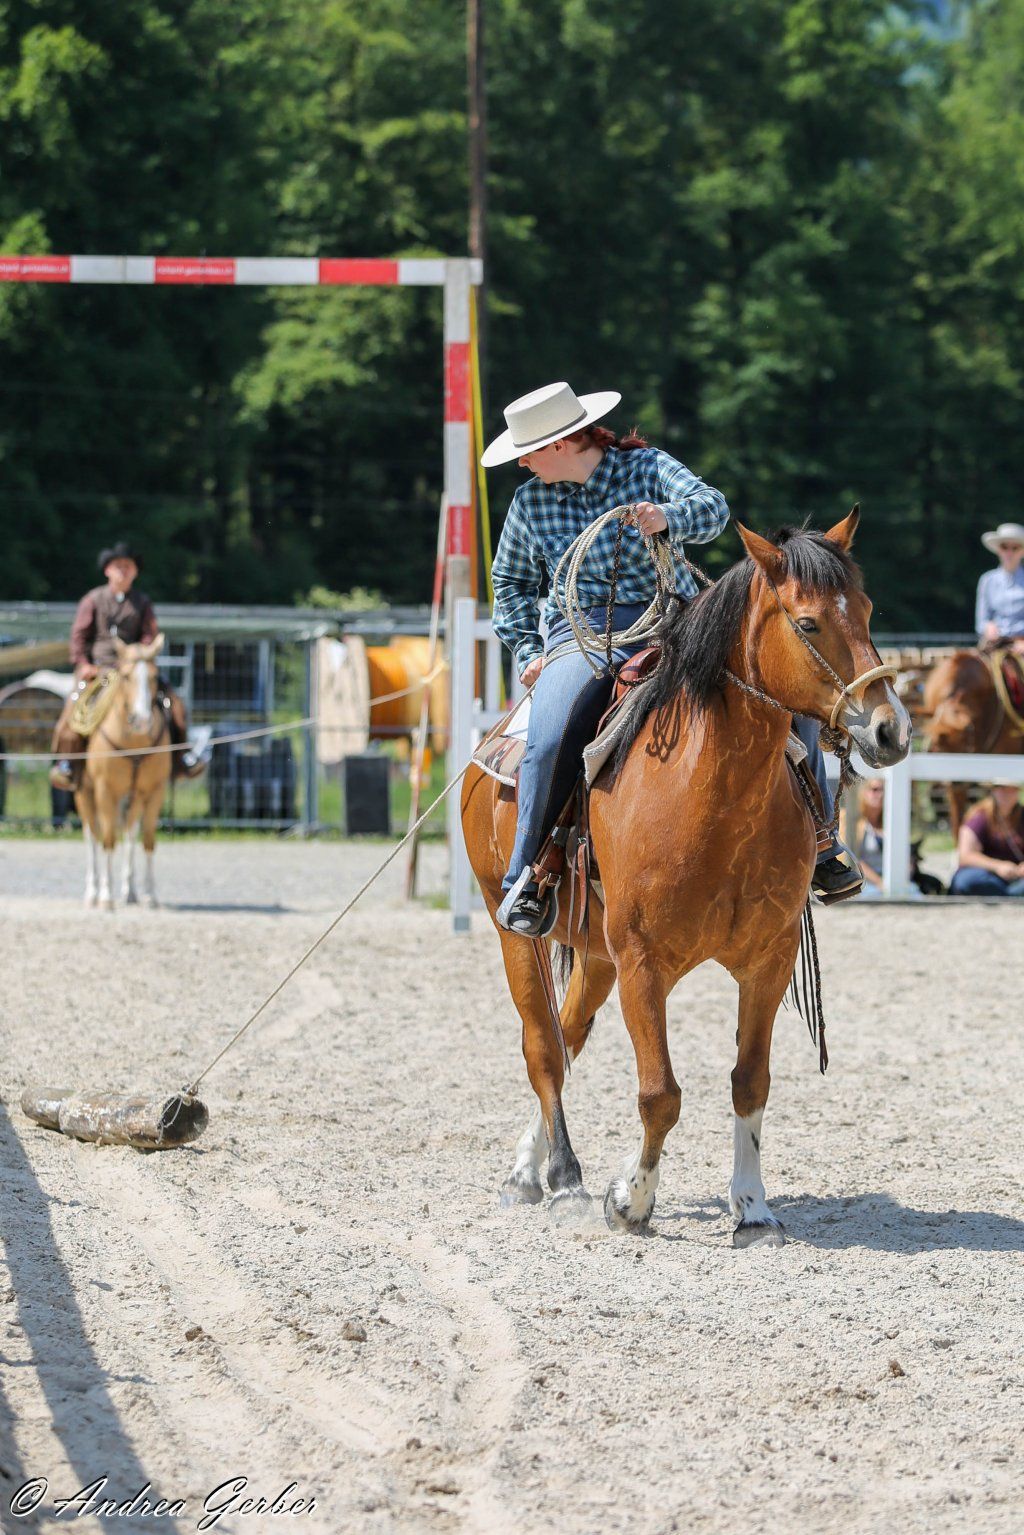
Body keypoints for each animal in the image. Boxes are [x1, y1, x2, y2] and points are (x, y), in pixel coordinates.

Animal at [75, 635, 172, 910]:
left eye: (154, 676)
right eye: (127, 676)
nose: (142, 720)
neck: (134, 742)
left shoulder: (153, 791)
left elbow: (147, 840)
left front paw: (150, 895)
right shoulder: (105, 791)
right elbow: (108, 840)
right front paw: (106, 896)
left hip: (133, 798)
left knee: (129, 836)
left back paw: (130, 892)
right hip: (84, 794)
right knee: (92, 837)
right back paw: (92, 892)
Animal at [461, 509, 912, 1247]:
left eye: (867, 609)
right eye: (808, 622)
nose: (890, 730)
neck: (712, 796)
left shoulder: (767, 958)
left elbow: (750, 1082)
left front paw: (752, 1208)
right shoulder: (644, 962)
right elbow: (659, 1093)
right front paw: (630, 1199)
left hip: (595, 952)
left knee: (568, 1036)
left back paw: (528, 1167)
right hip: (516, 937)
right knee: (543, 1048)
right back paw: (561, 1176)